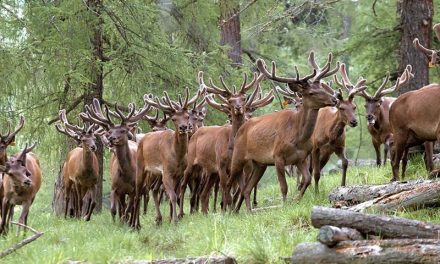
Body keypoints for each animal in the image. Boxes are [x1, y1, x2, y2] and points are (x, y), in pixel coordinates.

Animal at [131, 87, 205, 228]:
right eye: (174, 118)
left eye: (187, 116)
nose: (184, 127)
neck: (177, 156)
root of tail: (142, 138)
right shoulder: (167, 172)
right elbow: (173, 196)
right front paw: (175, 220)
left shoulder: (178, 174)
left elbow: (175, 195)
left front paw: (171, 218)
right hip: (141, 167)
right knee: (137, 194)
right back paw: (135, 224)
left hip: (157, 174)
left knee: (154, 190)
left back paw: (159, 219)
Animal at [229, 51, 338, 212]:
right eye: (311, 92)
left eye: (322, 88)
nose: (334, 99)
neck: (297, 137)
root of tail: (240, 130)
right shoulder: (277, 156)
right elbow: (284, 187)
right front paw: (285, 206)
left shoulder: (301, 158)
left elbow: (306, 180)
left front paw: (296, 200)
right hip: (238, 156)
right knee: (229, 181)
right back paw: (227, 210)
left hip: (259, 163)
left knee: (247, 188)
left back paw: (248, 211)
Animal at [310, 63, 368, 192]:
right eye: (341, 108)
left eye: (354, 107)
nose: (354, 121)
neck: (329, 135)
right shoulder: (315, 147)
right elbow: (316, 173)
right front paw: (316, 193)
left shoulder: (339, 147)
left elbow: (345, 163)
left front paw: (342, 185)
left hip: (325, 155)